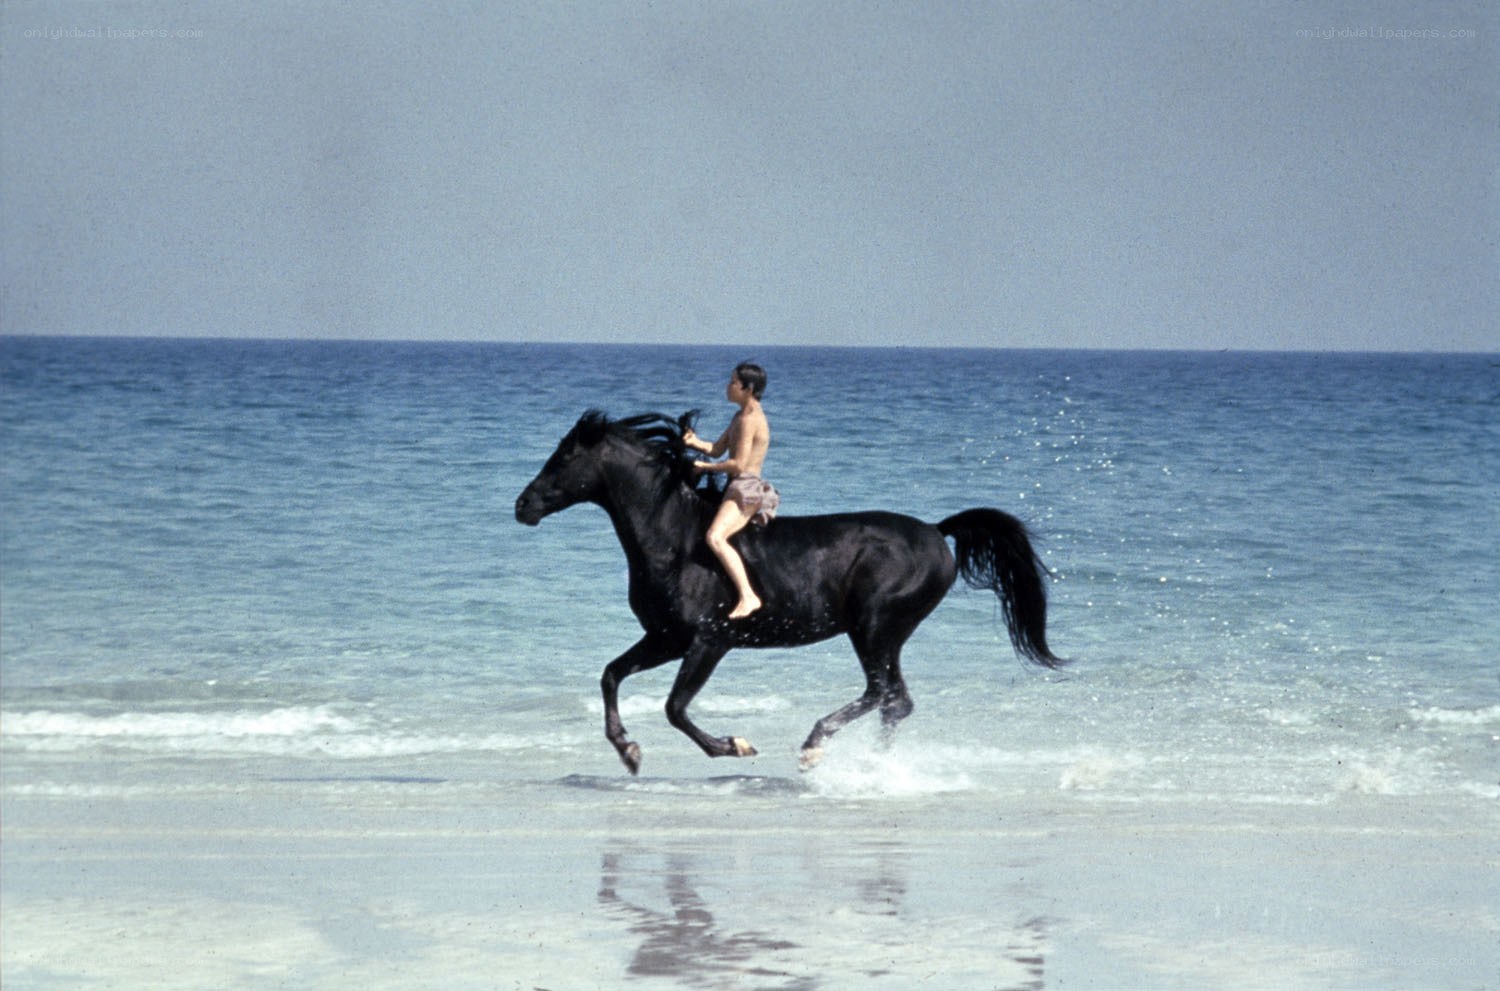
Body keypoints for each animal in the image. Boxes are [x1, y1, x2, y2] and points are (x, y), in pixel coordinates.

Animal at [514, 410, 1063, 775]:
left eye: (564, 457)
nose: (523, 506)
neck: (675, 537)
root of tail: (936, 531)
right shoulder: (666, 638)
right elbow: (611, 675)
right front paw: (628, 752)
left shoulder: (709, 641)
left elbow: (675, 707)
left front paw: (736, 746)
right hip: (884, 635)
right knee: (896, 701)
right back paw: (875, 765)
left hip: (874, 628)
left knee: (883, 693)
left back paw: (814, 747)